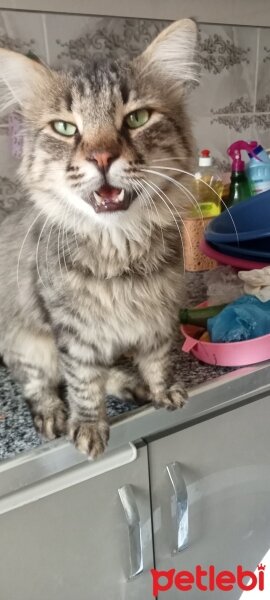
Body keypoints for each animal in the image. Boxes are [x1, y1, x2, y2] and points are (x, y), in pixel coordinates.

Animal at [0, 18, 198, 460]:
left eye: (137, 118)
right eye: (65, 128)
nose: (102, 158)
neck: (119, 248)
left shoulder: (160, 314)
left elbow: (157, 358)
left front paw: (162, 390)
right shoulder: (73, 333)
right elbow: (83, 382)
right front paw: (88, 427)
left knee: (109, 373)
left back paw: (133, 385)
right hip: (26, 343)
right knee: (40, 384)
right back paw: (53, 413)